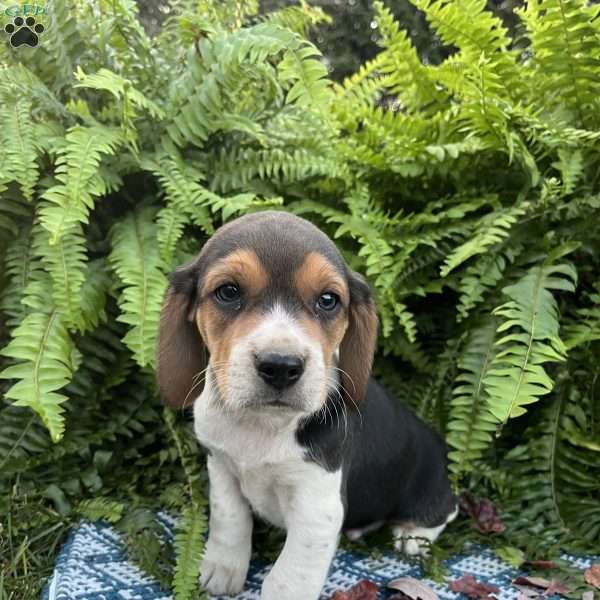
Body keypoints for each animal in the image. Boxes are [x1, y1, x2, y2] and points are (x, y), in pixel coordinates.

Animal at [157, 211, 458, 600]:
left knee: (446, 511)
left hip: (429, 487)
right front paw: (222, 568)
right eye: (228, 292)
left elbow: (288, 578)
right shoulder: (220, 464)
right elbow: (230, 519)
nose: (281, 366)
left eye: (328, 300)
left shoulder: (317, 506)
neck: (262, 424)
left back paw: (413, 534)